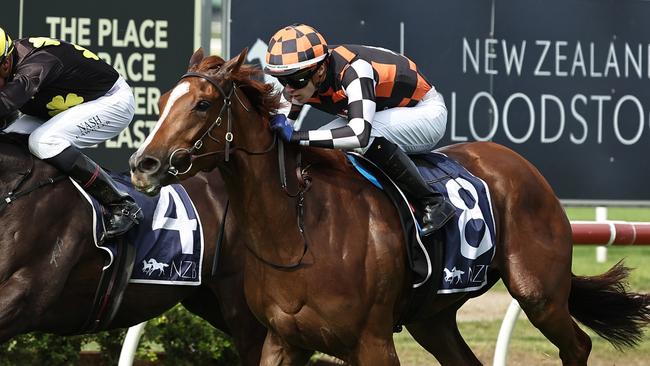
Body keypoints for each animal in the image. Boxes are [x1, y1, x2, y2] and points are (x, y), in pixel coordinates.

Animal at [129, 48, 648, 366]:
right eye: (162, 99)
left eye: (202, 104)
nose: (143, 163)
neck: (298, 232)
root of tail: (521, 165)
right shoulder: (282, 340)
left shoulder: (372, 342)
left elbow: (363, 130)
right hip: (431, 318)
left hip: (538, 292)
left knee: (577, 344)